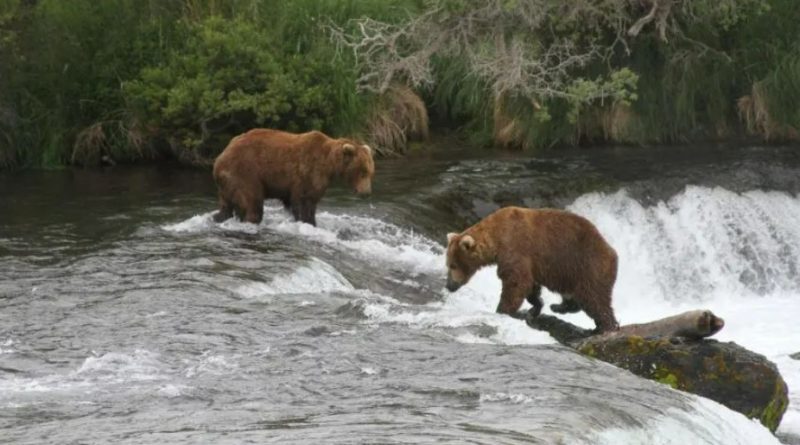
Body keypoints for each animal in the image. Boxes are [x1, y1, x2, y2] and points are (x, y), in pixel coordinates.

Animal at [212, 128, 375, 226]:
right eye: (362, 172)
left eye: (371, 172)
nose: (366, 193)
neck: (330, 164)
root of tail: (219, 159)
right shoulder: (307, 173)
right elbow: (303, 201)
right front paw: (307, 221)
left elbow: (310, 202)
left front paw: (312, 222)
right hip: (245, 173)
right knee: (253, 204)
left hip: (227, 185)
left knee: (226, 207)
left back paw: (218, 218)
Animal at [445, 206, 619, 333]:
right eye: (447, 264)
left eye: (453, 265)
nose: (449, 286)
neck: (496, 239)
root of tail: (612, 252)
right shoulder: (529, 262)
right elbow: (530, 285)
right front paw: (536, 306)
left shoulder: (515, 248)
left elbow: (516, 282)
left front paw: (502, 310)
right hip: (570, 274)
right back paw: (558, 306)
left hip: (587, 266)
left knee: (594, 298)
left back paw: (606, 327)